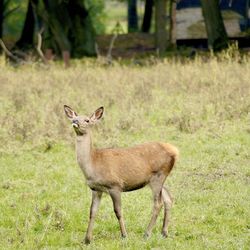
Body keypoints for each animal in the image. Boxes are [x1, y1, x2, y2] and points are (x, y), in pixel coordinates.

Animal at [63, 104, 179, 243]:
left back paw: (147, 233)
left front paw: (124, 235)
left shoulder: (115, 185)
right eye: (74, 117)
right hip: (157, 179)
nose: (75, 122)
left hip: (158, 176)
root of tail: (175, 150)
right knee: (168, 198)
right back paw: (164, 232)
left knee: (158, 203)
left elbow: (118, 211)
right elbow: (92, 212)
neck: (93, 163)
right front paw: (87, 239)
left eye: (87, 120)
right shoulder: (96, 189)